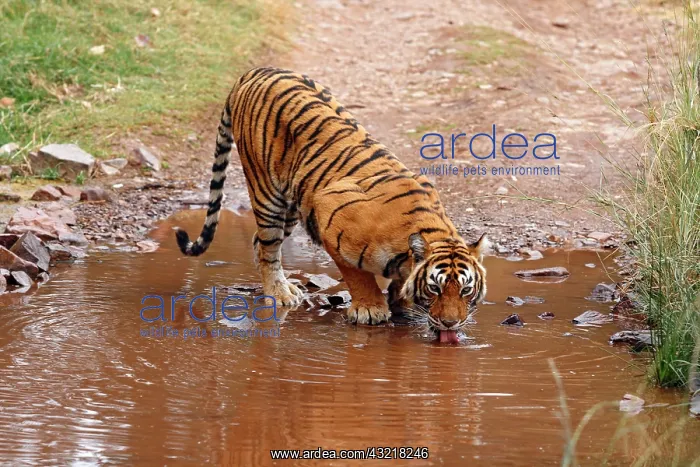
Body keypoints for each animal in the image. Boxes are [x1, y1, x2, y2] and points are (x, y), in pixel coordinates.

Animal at [176, 67, 489, 342]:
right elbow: (358, 276)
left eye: (465, 291)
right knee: (268, 246)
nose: (450, 323)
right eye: (435, 288)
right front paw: (371, 309)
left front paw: (402, 303)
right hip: (267, 192)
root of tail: (257, 70)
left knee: (259, 242)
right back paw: (279, 293)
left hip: (294, 204)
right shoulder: (330, 216)